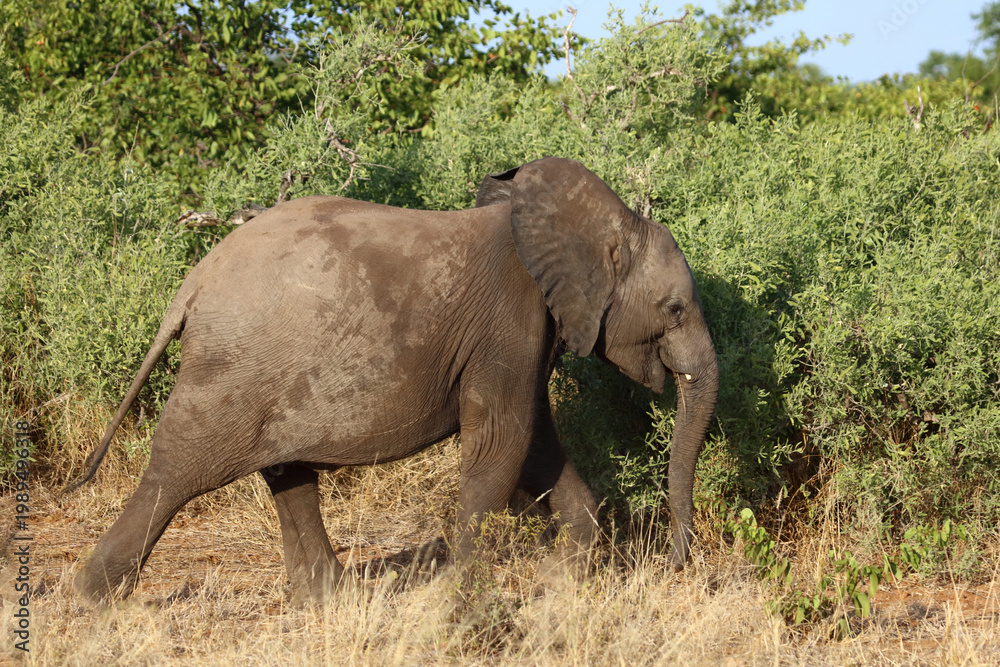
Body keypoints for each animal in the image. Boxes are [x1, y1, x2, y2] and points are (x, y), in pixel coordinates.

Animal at [71, 156, 718, 604]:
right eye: (674, 309)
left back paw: (327, 600)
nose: (676, 563)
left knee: (285, 471)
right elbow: (502, 444)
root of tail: (193, 284)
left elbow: (535, 444)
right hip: (235, 365)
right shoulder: (508, 320)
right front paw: (462, 593)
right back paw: (93, 600)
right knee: (179, 470)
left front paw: (567, 579)